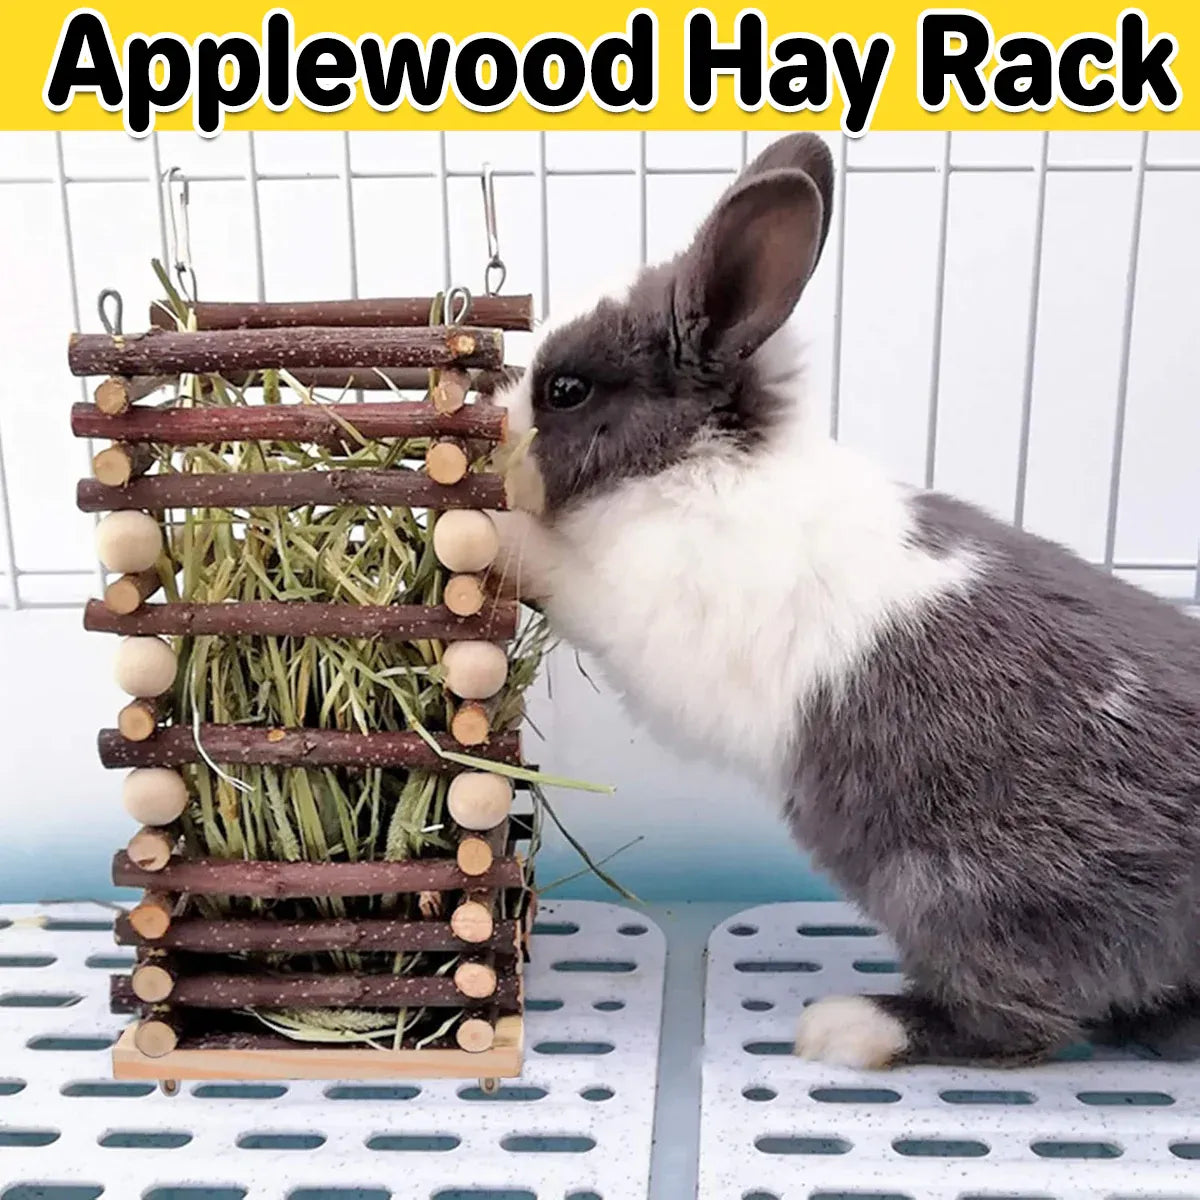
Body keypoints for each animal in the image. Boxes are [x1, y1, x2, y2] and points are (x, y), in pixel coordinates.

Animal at [489, 132, 1200, 1068]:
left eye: (566, 390)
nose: (492, 441)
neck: (686, 465)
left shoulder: (634, 603)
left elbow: (555, 568)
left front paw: (480, 523)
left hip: (969, 891)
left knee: (1021, 1025)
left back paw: (851, 1028)